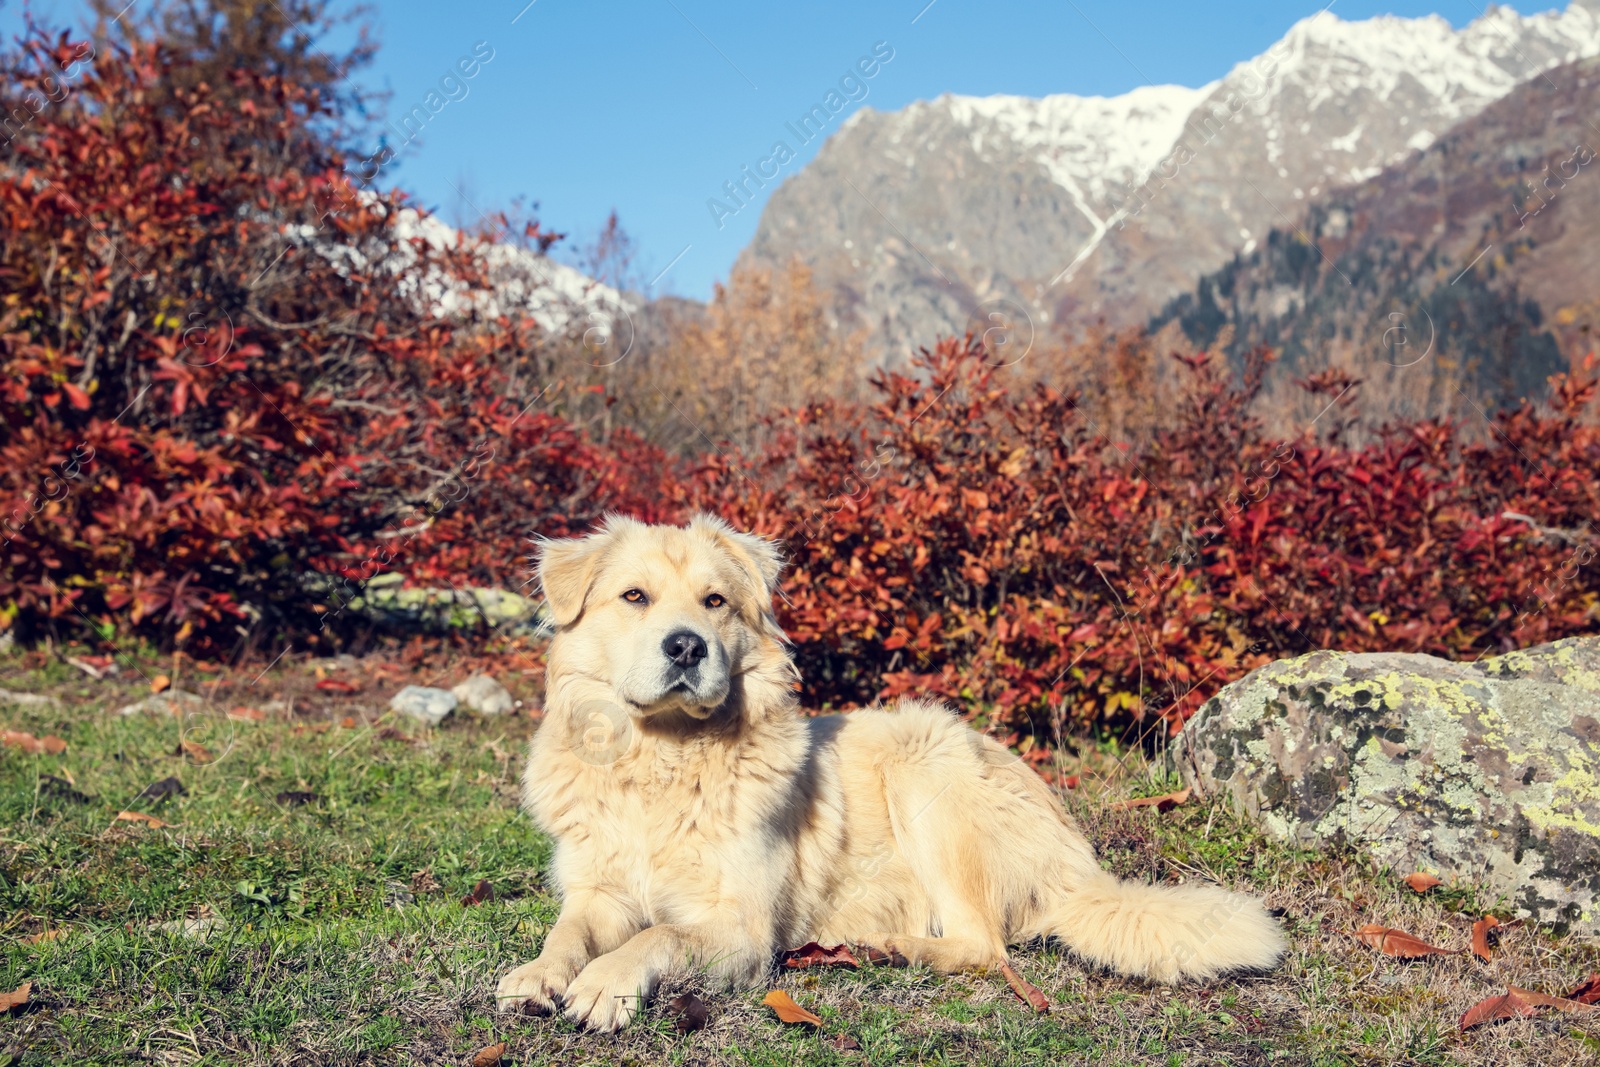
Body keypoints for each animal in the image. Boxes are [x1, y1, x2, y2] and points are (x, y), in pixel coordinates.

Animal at [492, 511, 1280, 1030]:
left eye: (715, 602)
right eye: (634, 597)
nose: (687, 646)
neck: (663, 759)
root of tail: (1078, 862)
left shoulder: (742, 930)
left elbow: (659, 936)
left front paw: (607, 983)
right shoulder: (598, 889)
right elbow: (567, 931)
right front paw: (537, 975)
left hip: (924, 761)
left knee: (984, 946)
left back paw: (889, 946)